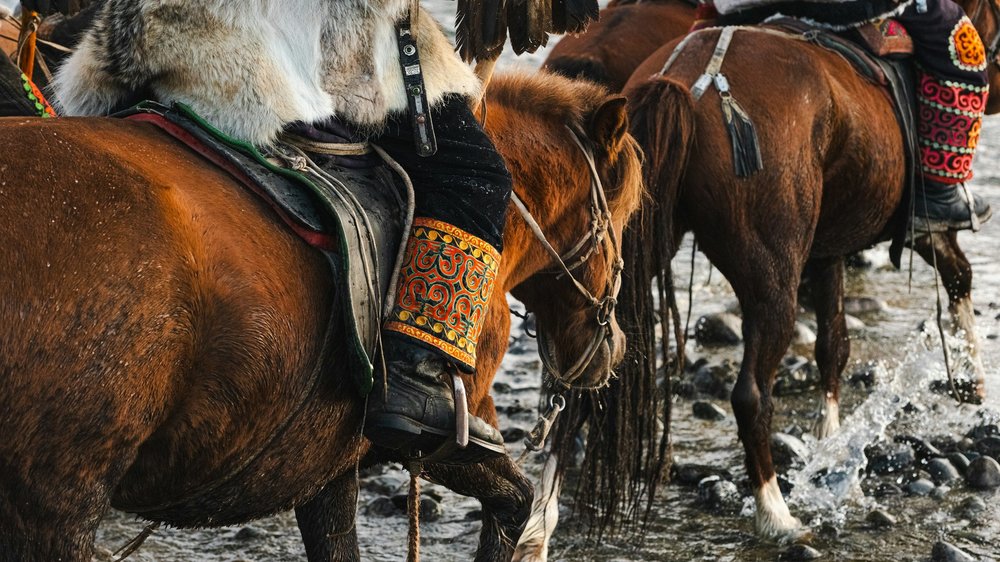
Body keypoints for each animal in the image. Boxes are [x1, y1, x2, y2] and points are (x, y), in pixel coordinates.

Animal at [0, 69, 644, 562]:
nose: (608, 344)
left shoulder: (323, 462)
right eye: (624, 212)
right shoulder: (453, 433)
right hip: (56, 505)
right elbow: (514, 501)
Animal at [621, 0, 1000, 539]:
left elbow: (833, 345)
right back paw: (776, 513)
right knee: (751, 396)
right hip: (771, 279)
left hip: (635, 251)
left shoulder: (826, 249)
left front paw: (829, 440)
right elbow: (959, 275)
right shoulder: (921, 226)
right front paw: (971, 378)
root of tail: (687, 83)